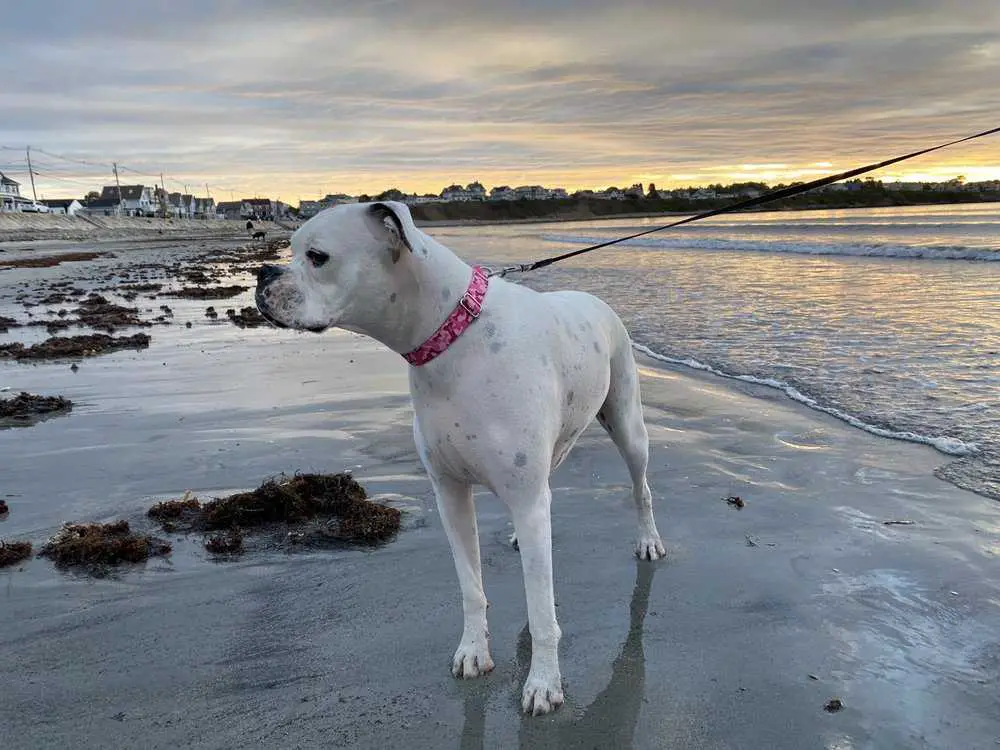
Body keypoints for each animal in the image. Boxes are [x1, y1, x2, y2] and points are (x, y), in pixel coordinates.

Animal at [254, 200, 668, 716]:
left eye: (317, 257)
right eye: (289, 250)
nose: (263, 273)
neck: (451, 335)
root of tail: (594, 299)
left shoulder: (525, 496)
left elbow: (541, 609)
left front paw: (543, 682)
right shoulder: (450, 494)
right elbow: (471, 587)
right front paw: (473, 651)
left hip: (627, 424)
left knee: (640, 487)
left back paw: (648, 540)